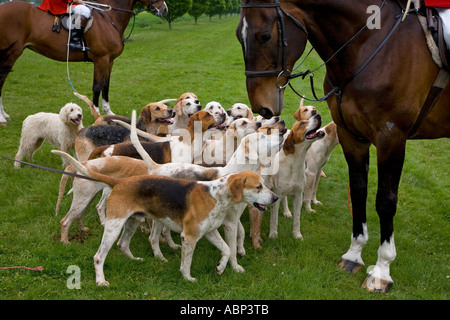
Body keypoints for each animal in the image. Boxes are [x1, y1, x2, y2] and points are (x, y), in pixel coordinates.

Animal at [0, 0, 168, 126]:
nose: (164, 9)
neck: (109, 17)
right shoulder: (101, 59)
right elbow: (97, 86)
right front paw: (97, 114)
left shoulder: (110, 61)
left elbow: (106, 86)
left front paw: (109, 112)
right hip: (11, 53)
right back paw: (2, 117)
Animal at [237, 0, 448, 292]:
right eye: (238, 35)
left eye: (265, 36)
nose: (263, 108)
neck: (369, 44)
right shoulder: (352, 136)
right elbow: (358, 191)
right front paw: (353, 255)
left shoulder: (391, 137)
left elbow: (385, 201)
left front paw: (381, 270)